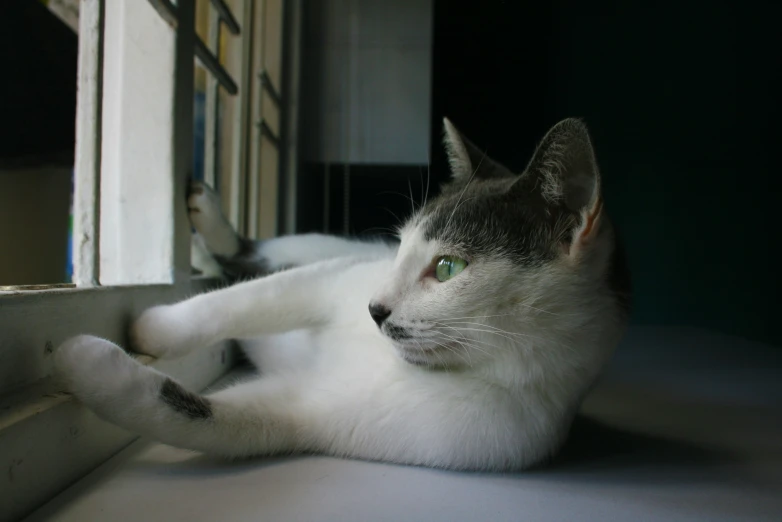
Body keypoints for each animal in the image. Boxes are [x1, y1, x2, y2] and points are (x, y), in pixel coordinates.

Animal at [55, 117, 632, 468]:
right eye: (400, 248)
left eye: (448, 267)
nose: (374, 309)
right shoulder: (333, 279)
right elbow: (250, 299)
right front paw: (154, 327)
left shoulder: (338, 417)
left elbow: (207, 416)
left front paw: (85, 363)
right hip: (319, 246)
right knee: (252, 259)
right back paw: (208, 222)